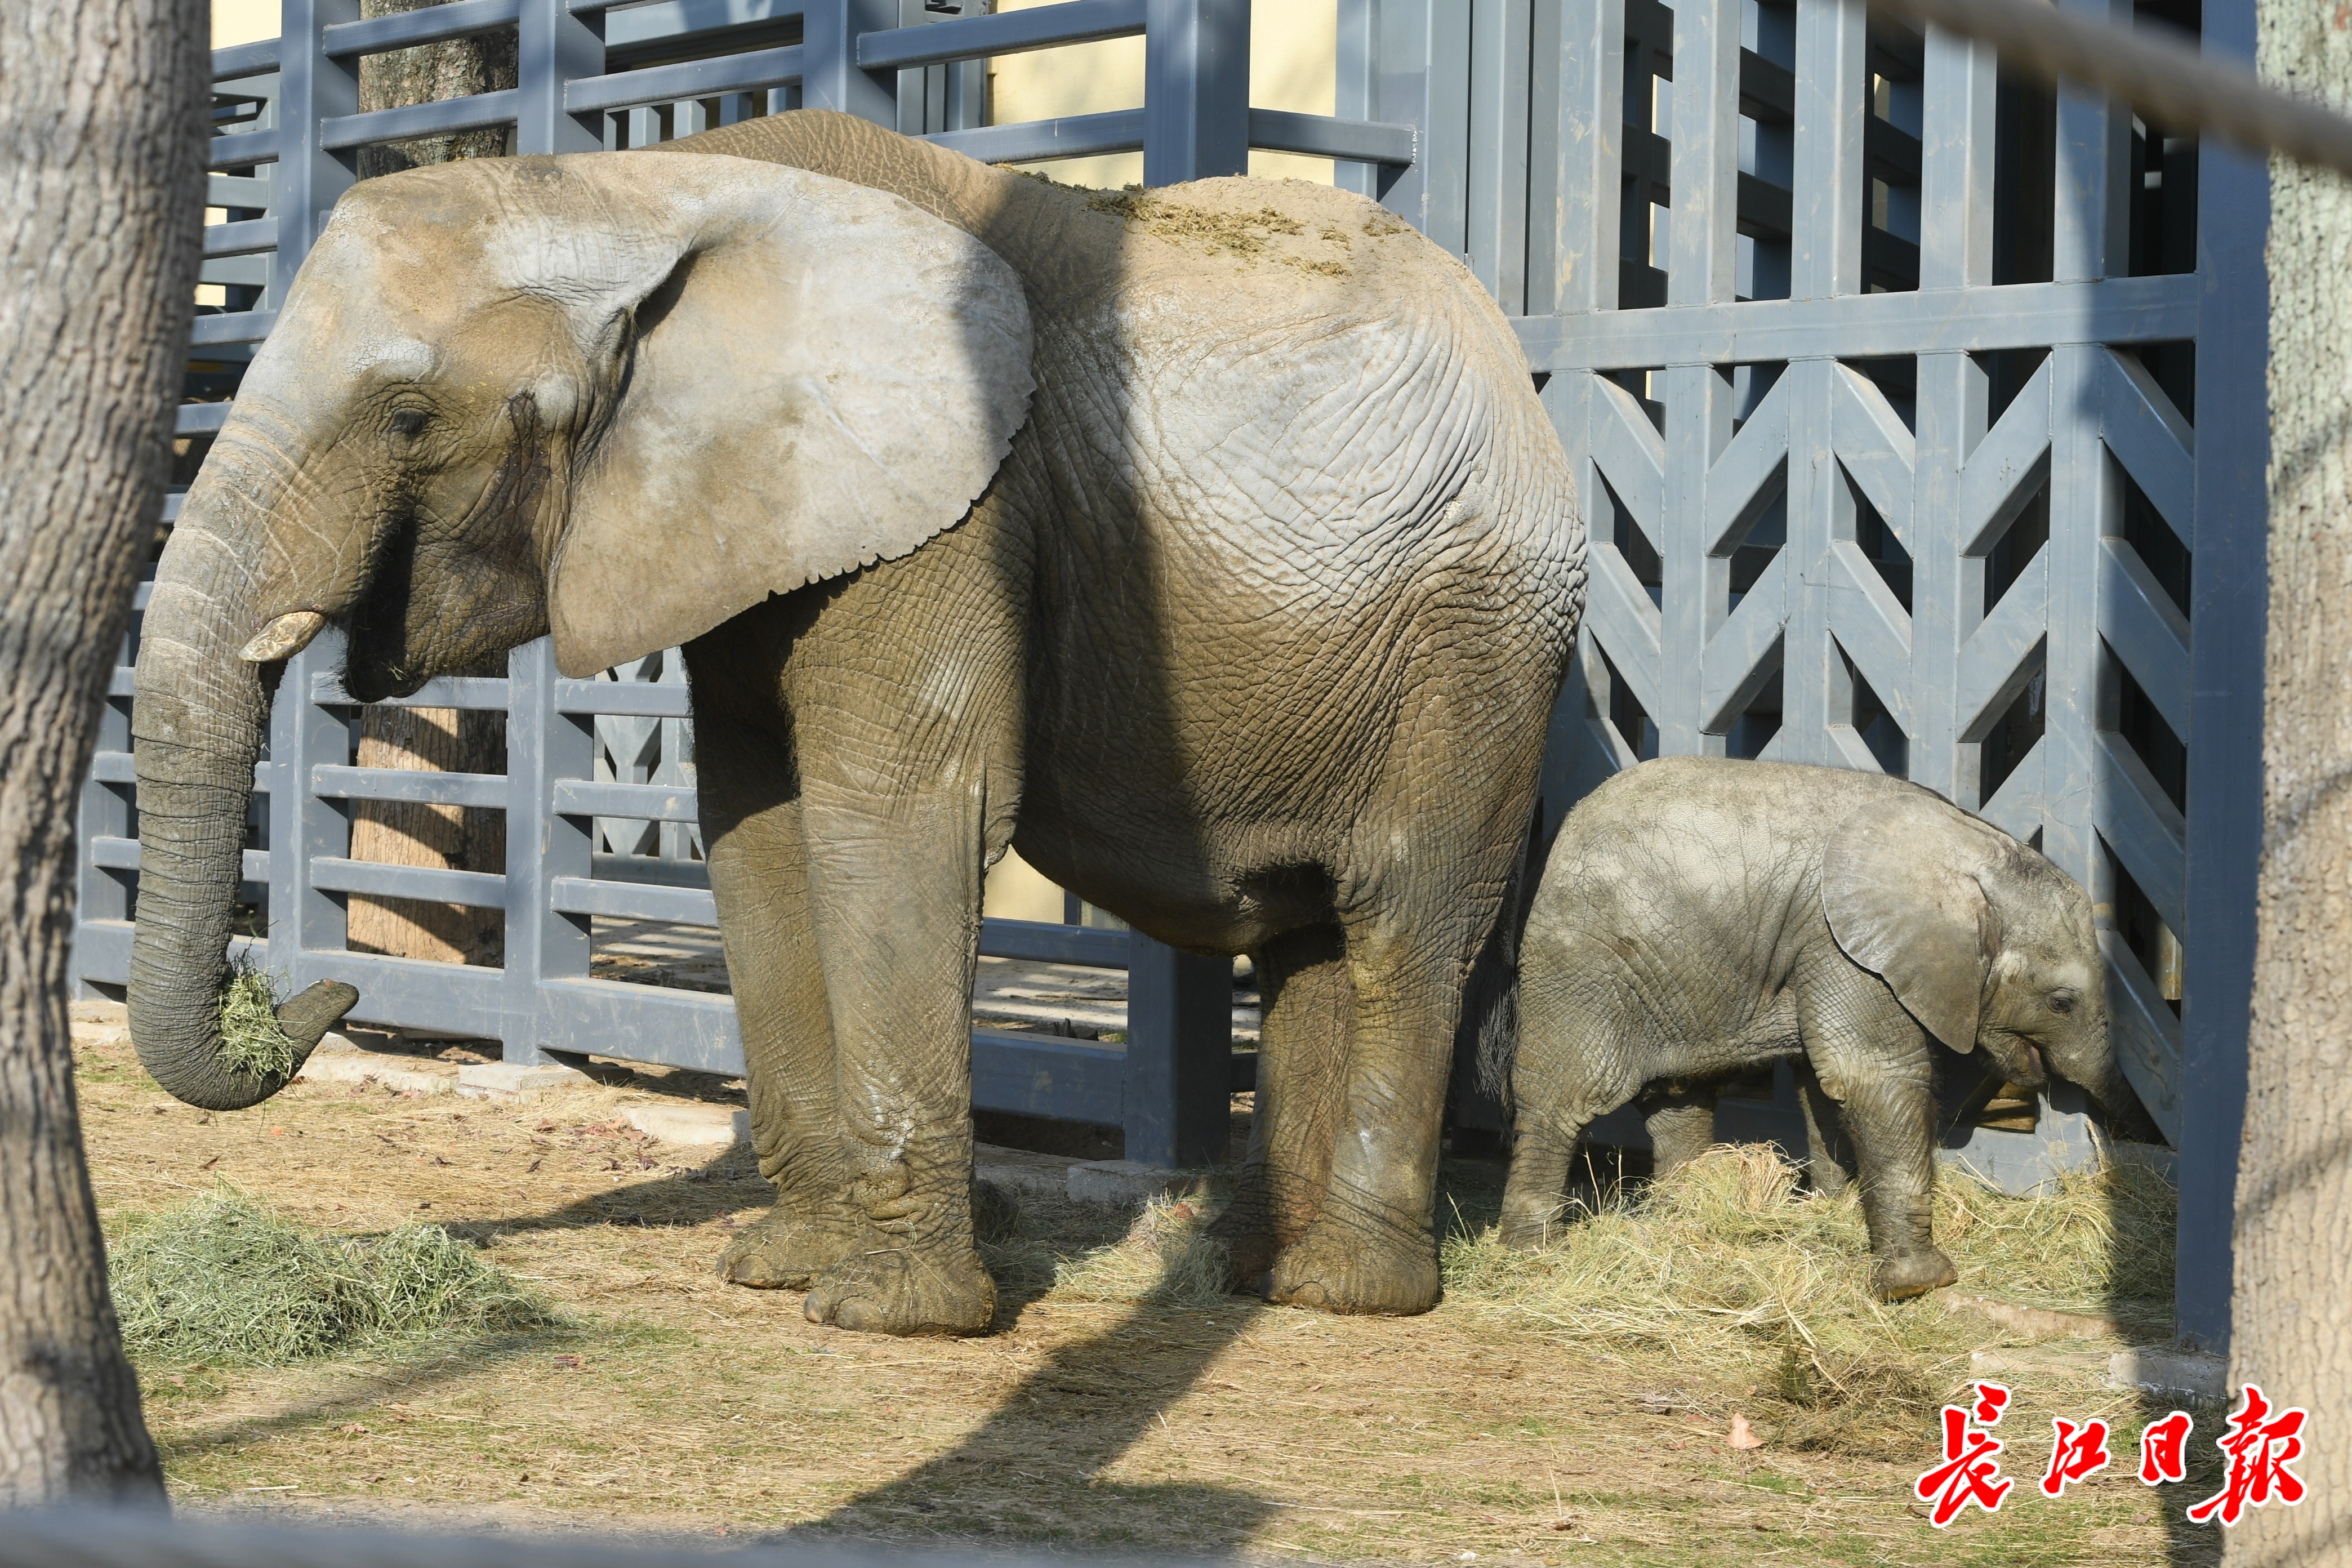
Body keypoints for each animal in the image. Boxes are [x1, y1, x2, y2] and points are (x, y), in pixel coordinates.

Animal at [137, 113, 1589, 1335]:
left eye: (406, 415)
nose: (315, 991)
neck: (658, 186)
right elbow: (756, 830)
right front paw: (779, 1270)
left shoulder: (954, 506)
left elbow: (895, 813)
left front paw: (888, 1315)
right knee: (1308, 931)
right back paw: (1252, 1277)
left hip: (1477, 632)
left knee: (1405, 908)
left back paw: (1349, 1290)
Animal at [1495, 757, 2145, 1298]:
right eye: (2061, 1003)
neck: (1973, 854)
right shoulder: (1845, 945)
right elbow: (1872, 1077)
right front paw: (1919, 1283)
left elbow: (1823, 1087)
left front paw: (1832, 1213)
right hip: (1580, 963)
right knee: (1565, 1099)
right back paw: (1532, 1255)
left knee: (1680, 1102)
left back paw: (1683, 1219)